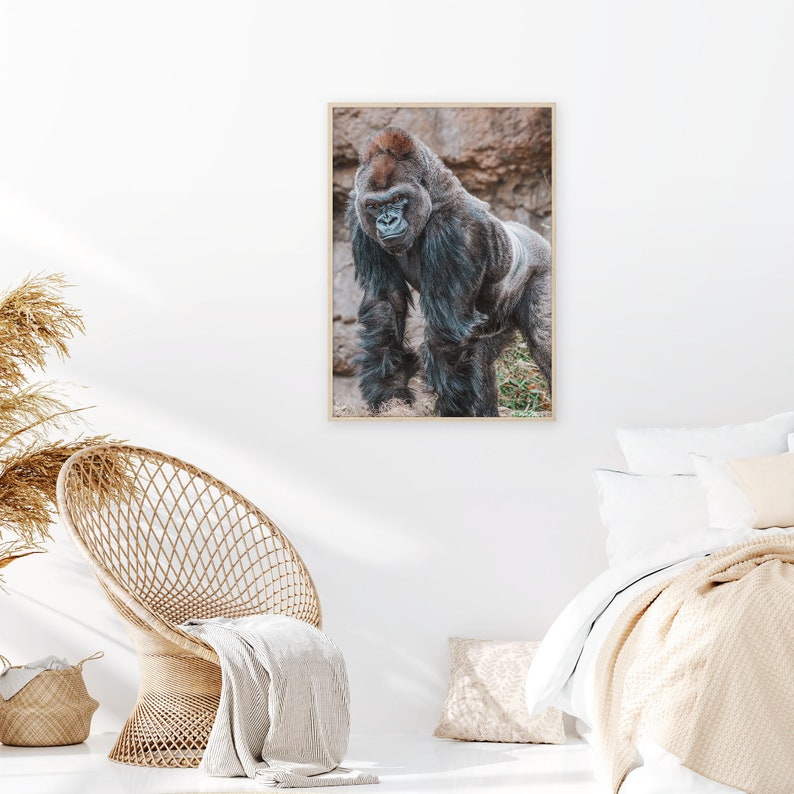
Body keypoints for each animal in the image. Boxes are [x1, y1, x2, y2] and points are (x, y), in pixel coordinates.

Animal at [346, 126, 551, 417]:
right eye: (374, 206)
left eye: (397, 199)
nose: (387, 221)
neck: (432, 194)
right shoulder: (359, 218)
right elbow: (385, 305)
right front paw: (390, 397)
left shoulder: (458, 228)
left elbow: (446, 329)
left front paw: (453, 410)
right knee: (481, 359)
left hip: (544, 269)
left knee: (544, 341)